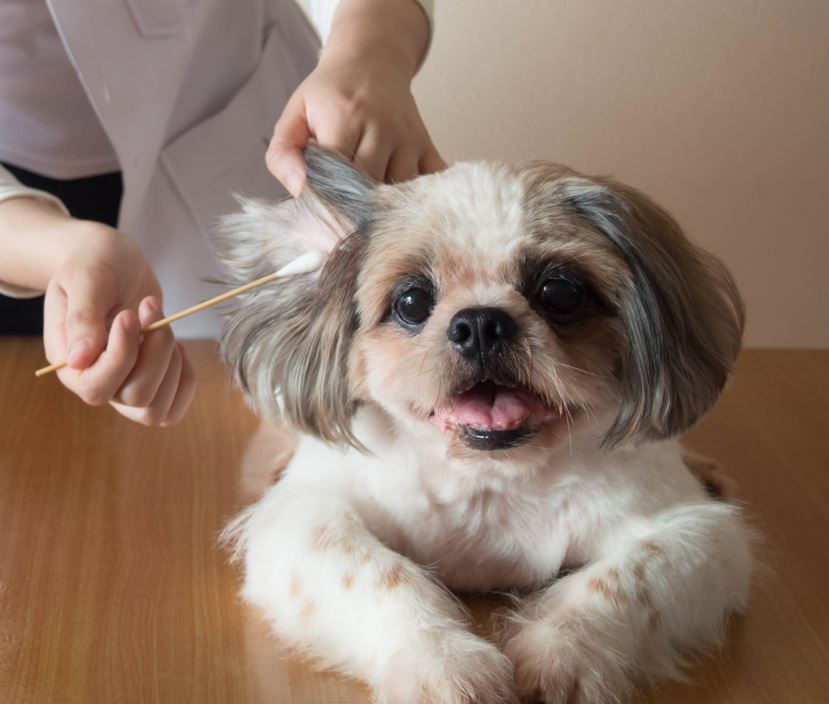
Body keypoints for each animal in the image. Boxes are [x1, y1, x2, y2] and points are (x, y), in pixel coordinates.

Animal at [217, 146, 752, 700]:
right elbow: (377, 575)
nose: (480, 322)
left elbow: (624, 581)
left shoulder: (695, 534)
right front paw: (441, 662)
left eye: (559, 292)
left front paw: (563, 654)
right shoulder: (302, 518)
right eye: (412, 301)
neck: (490, 478)